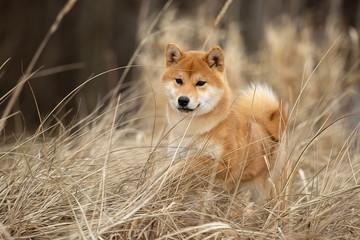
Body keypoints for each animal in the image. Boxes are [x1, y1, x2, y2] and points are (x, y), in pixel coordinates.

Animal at [160, 42, 286, 199]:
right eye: (178, 80)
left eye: (200, 83)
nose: (183, 100)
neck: (192, 130)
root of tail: (268, 128)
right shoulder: (176, 154)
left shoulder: (226, 163)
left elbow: (194, 161)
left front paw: (171, 172)